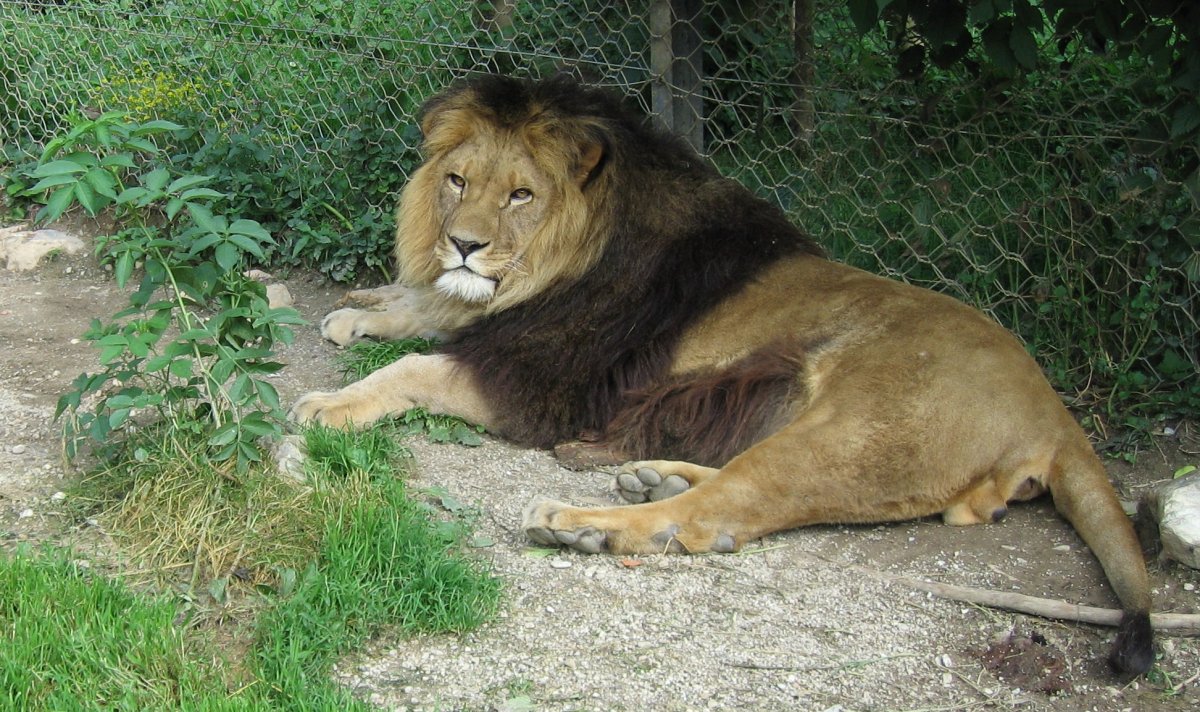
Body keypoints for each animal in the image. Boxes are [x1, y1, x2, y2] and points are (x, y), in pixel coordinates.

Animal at [291, 74, 1153, 674]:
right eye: (458, 181)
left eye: (523, 195)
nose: (464, 244)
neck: (564, 262)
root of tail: (1052, 409)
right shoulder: (502, 321)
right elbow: (424, 308)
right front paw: (361, 309)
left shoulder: (543, 385)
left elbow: (413, 367)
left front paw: (329, 402)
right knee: (724, 489)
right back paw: (651, 475)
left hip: (854, 431)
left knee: (717, 516)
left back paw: (581, 522)